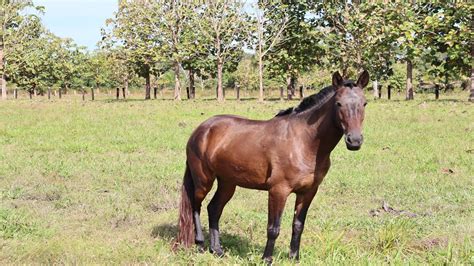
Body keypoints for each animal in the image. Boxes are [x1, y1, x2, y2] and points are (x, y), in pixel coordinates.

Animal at [176, 70, 368, 262]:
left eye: (364, 103)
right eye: (338, 103)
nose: (354, 141)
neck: (304, 141)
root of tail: (201, 130)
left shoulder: (308, 192)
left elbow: (298, 225)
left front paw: (294, 257)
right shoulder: (278, 191)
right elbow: (273, 228)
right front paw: (267, 259)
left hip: (227, 183)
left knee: (214, 209)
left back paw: (217, 249)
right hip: (203, 181)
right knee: (195, 206)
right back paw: (200, 243)